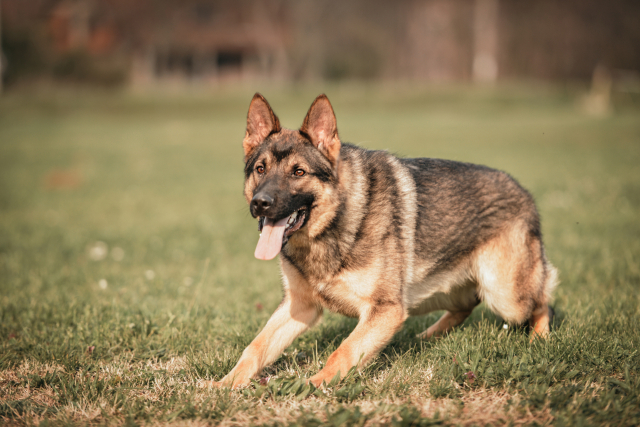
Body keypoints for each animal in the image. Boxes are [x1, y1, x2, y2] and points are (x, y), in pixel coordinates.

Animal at [209, 95, 556, 390]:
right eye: (260, 169)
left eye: (298, 172)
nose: (261, 203)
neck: (334, 223)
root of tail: (525, 193)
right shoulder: (300, 306)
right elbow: (256, 346)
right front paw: (226, 384)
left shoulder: (385, 309)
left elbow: (345, 349)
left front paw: (316, 383)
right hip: (438, 292)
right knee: (466, 304)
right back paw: (427, 335)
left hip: (503, 293)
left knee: (543, 300)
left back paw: (539, 341)